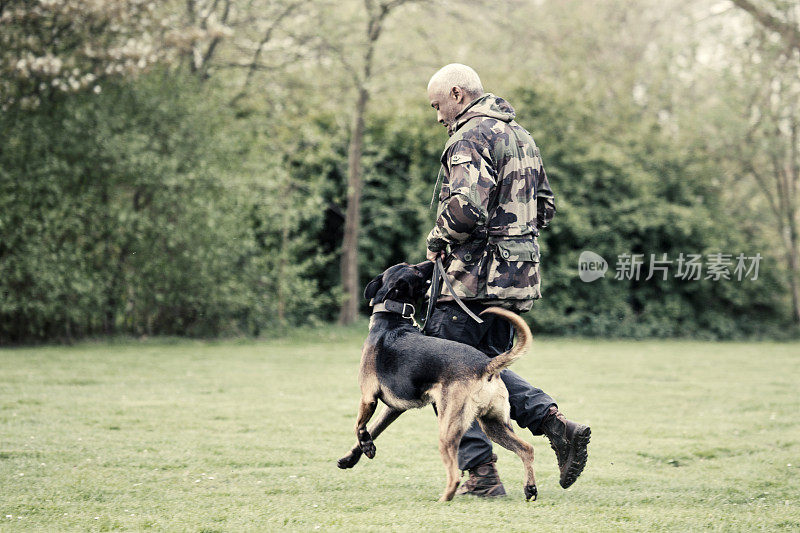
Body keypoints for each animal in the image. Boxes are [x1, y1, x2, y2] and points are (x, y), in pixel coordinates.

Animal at [338, 260, 536, 500]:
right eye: (412, 267)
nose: (432, 261)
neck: (392, 320)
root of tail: (485, 365)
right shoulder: (393, 408)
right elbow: (374, 428)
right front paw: (350, 458)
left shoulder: (368, 397)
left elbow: (359, 426)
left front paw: (366, 446)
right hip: (494, 425)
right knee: (527, 449)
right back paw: (530, 488)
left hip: (448, 429)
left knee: (454, 475)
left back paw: (443, 499)